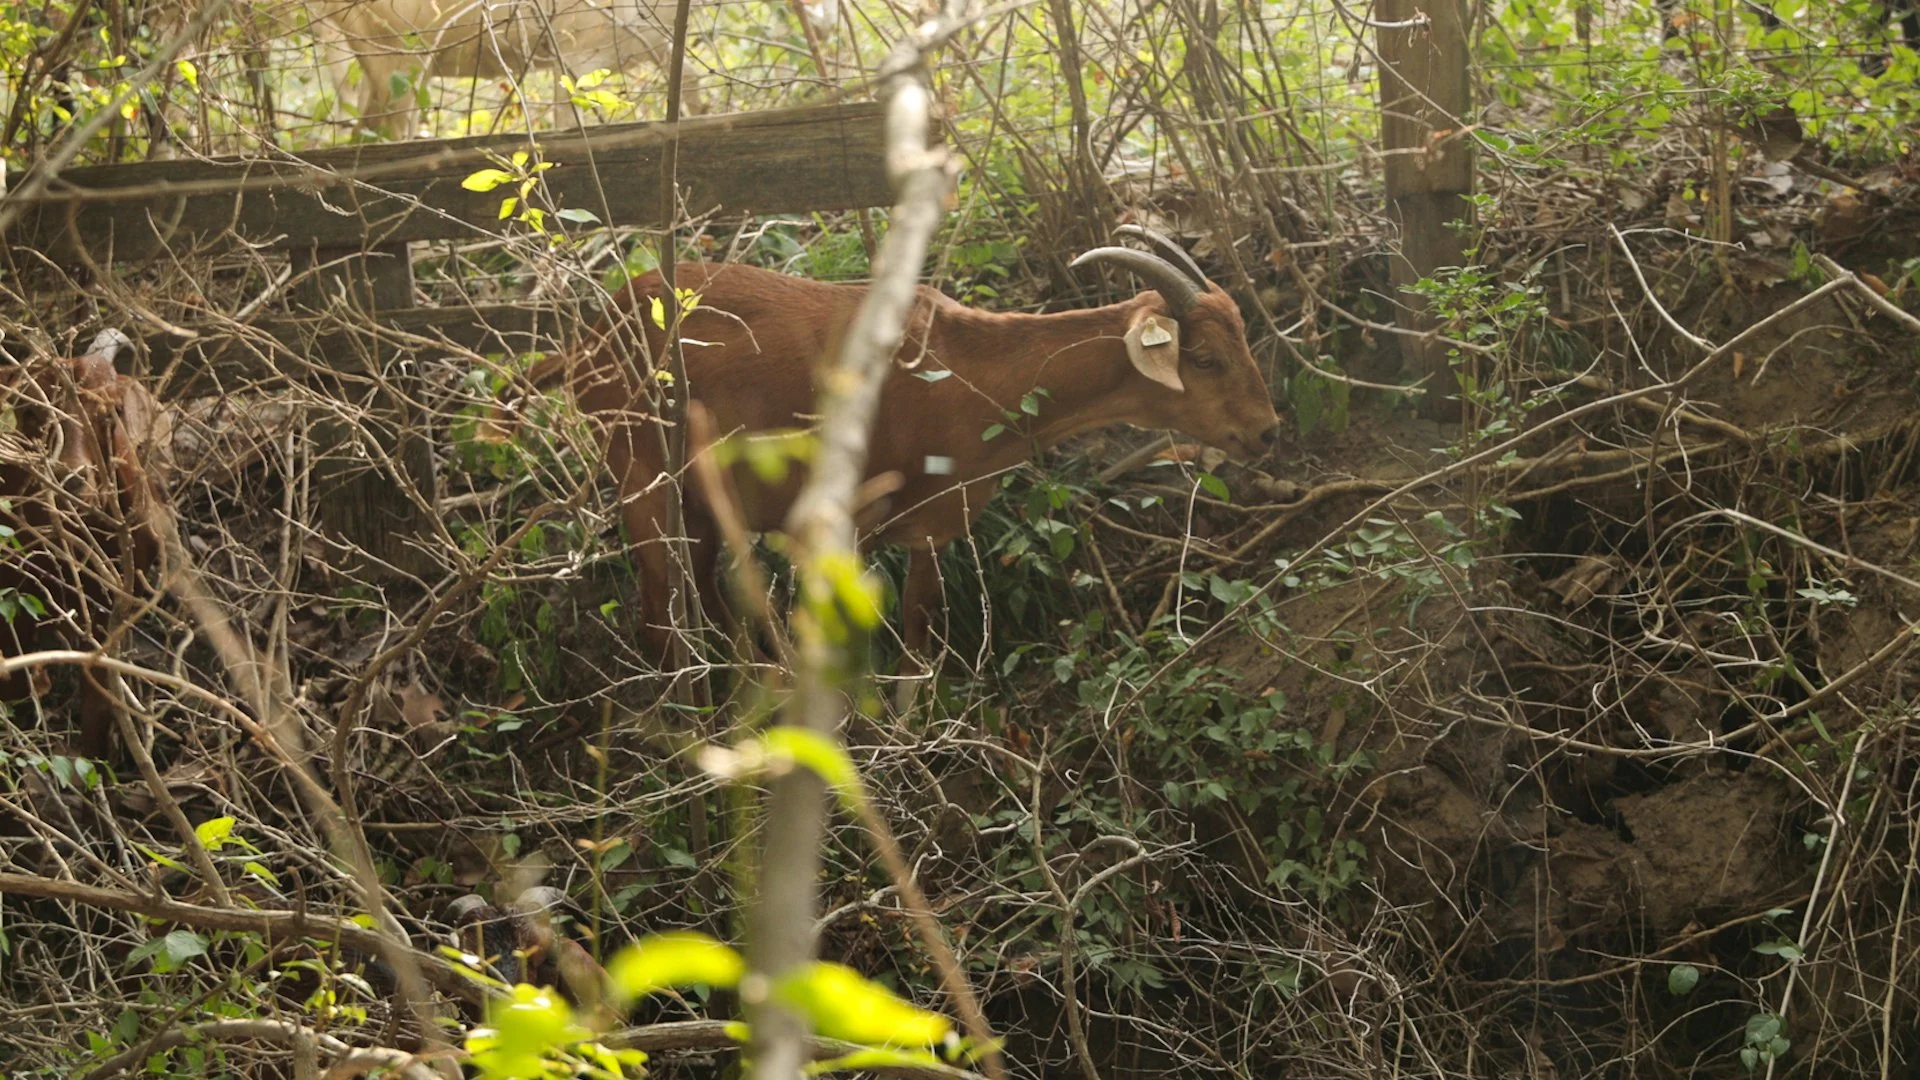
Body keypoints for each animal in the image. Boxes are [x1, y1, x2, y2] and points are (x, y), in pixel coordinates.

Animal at [517, 227, 1283, 669]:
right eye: (1206, 358)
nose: (1267, 431)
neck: (965, 372)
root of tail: (585, 344)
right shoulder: (838, 520)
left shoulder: (933, 522)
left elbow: (920, 627)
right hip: (640, 476)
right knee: (657, 618)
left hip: (698, 505)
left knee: (701, 599)